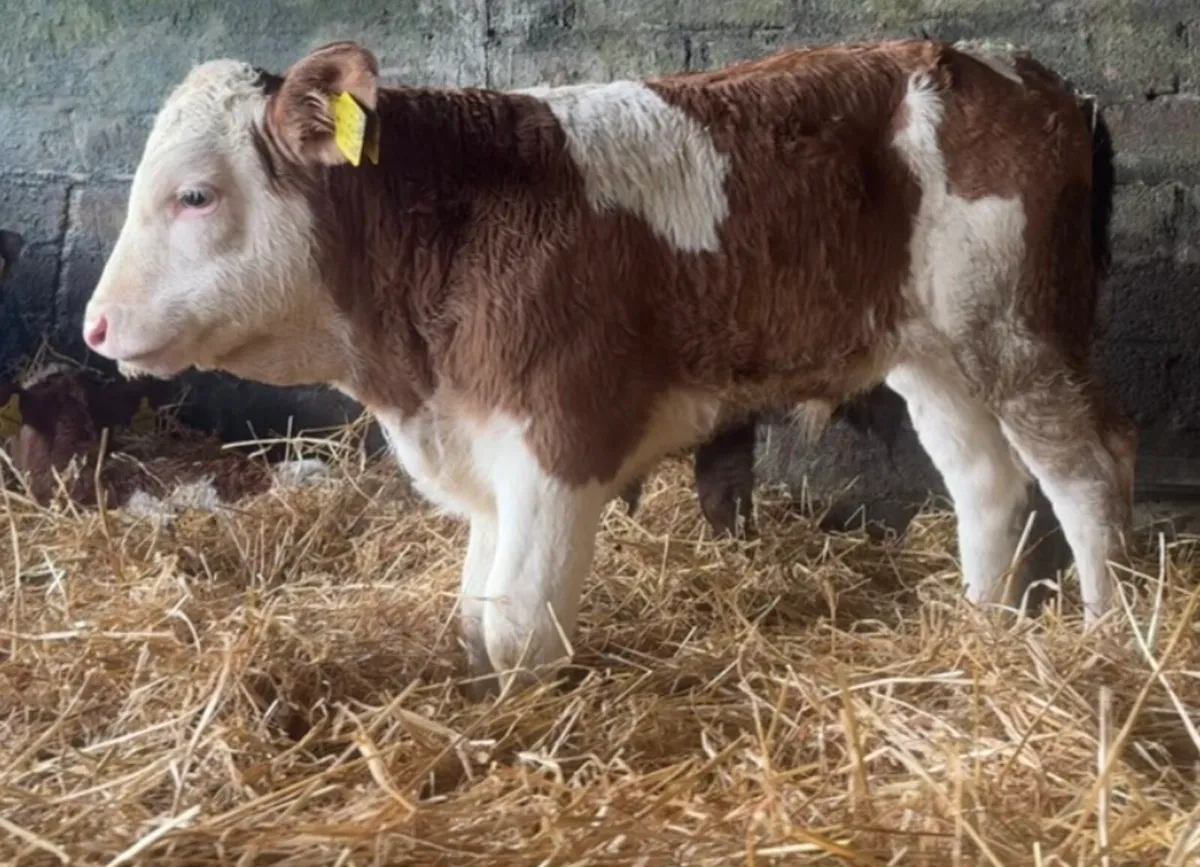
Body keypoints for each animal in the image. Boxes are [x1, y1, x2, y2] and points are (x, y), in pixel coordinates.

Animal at [79, 38, 1134, 697]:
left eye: (196, 195)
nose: (95, 325)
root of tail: (1021, 74)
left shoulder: (564, 437)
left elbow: (517, 627)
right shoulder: (484, 442)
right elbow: (475, 617)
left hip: (1021, 329)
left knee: (1086, 474)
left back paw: (1106, 640)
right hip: (934, 351)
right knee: (987, 481)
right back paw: (980, 624)